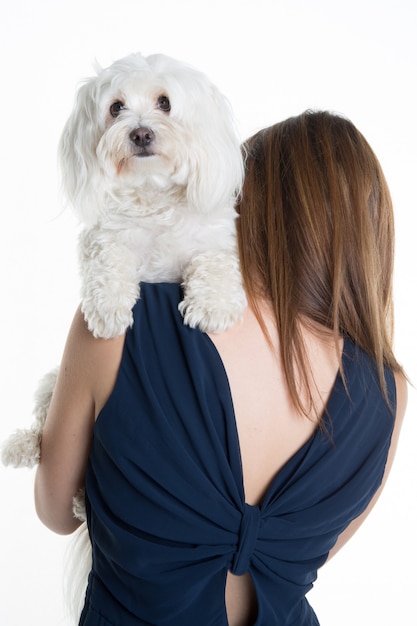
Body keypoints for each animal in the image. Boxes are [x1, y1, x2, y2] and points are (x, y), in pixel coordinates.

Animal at [1, 51, 245, 486]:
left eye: (165, 102)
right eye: (116, 108)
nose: (141, 134)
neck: (152, 192)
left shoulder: (213, 239)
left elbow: (215, 261)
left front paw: (211, 307)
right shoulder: (105, 237)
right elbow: (109, 259)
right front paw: (109, 310)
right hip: (52, 384)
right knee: (45, 417)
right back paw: (26, 444)